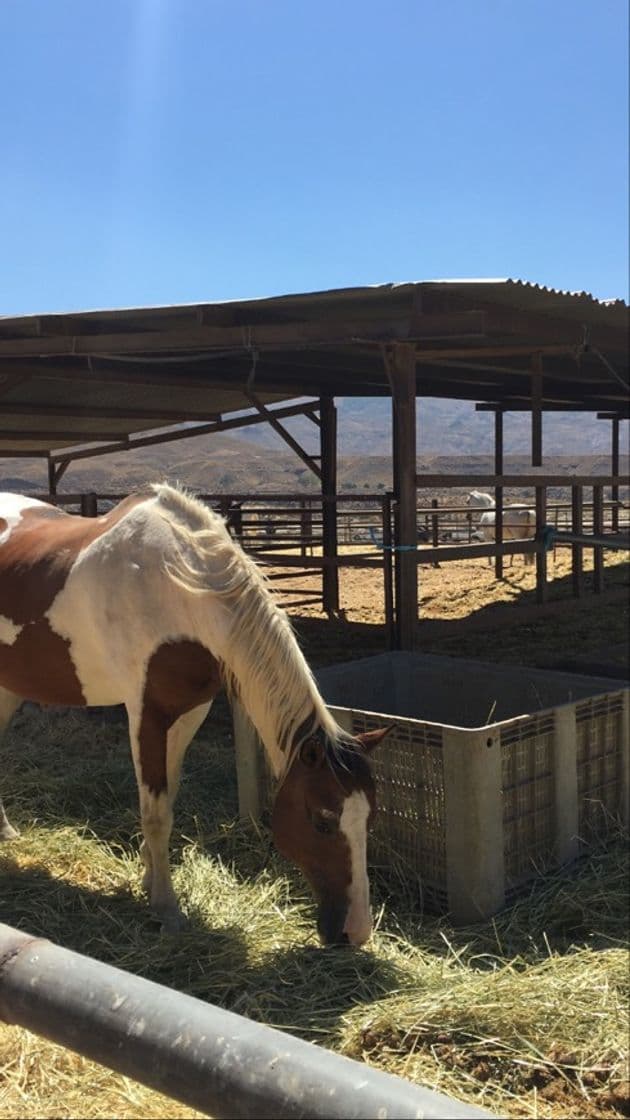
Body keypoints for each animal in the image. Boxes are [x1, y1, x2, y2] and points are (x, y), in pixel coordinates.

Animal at [0, 483, 385, 945]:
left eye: (370, 818)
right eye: (323, 821)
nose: (356, 932)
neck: (178, 591)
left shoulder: (189, 711)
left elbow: (169, 795)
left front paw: (150, 881)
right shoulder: (146, 713)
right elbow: (155, 813)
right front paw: (166, 908)